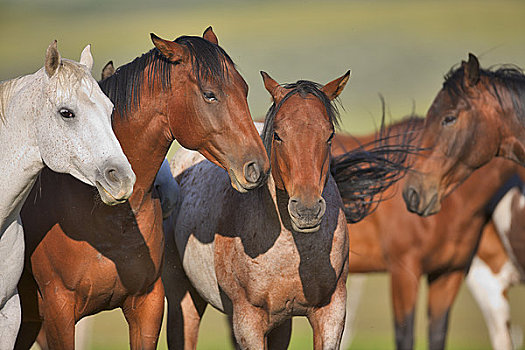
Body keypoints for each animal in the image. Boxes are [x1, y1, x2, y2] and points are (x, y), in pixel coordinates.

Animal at [161, 72, 414, 348]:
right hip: (184, 300)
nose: (307, 209)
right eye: (278, 135)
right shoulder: (248, 322)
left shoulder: (331, 313)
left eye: (329, 135)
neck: (290, 254)